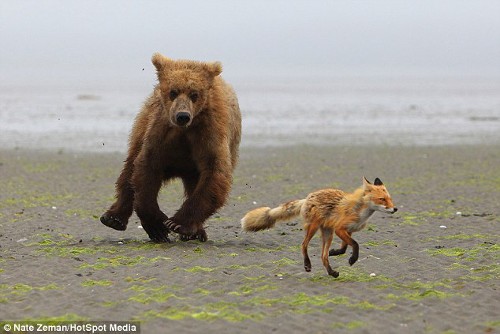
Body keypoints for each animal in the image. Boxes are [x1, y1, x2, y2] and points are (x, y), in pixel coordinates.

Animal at [100, 52, 241, 241]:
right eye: (173, 92)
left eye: (194, 94)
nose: (182, 115)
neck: (186, 129)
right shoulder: (161, 133)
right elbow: (146, 169)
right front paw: (157, 227)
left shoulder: (210, 134)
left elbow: (214, 174)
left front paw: (177, 224)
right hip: (143, 123)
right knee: (129, 168)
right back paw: (113, 218)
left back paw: (197, 233)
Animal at [241, 177, 398, 276]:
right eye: (382, 199)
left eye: (390, 199)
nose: (395, 209)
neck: (360, 212)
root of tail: (307, 197)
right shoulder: (340, 229)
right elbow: (355, 244)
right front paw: (353, 259)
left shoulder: (348, 230)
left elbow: (345, 247)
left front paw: (335, 252)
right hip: (315, 227)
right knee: (303, 245)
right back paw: (307, 264)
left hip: (328, 233)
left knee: (323, 256)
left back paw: (331, 272)